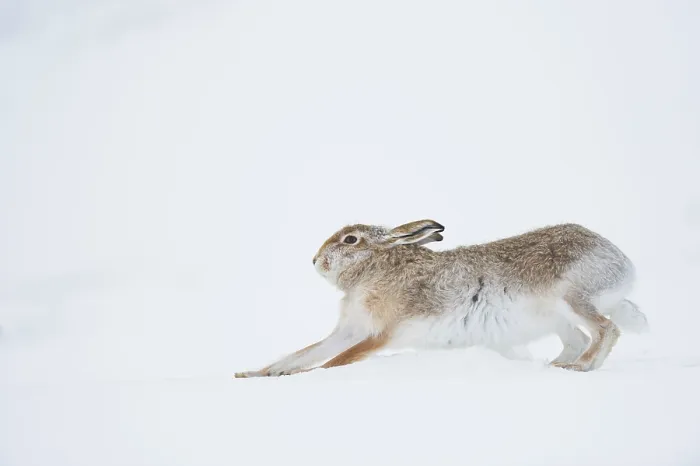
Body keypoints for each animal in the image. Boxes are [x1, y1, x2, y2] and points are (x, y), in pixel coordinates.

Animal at [234, 220, 648, 378]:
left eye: (351, 240)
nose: (315, 260)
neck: (377, 267)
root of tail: (624, 264)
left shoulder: (382, 333)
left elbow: (335, 361)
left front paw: (306, 376)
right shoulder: (348, 330)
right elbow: (305, 352)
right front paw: (255, 374)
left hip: (574, 298)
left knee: (606, 330)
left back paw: (581, 368)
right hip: (559, 317)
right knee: (579, 338)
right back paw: (557, 366)